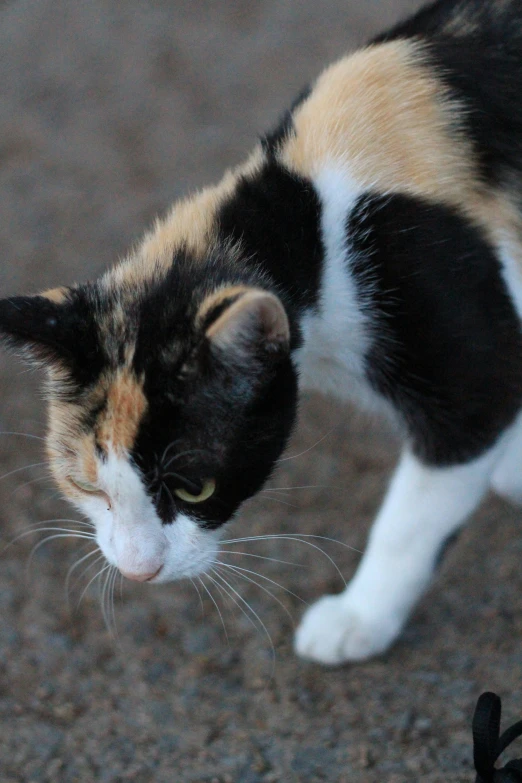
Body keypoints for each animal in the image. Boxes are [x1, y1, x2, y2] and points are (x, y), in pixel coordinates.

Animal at [1, 0, 520, 664]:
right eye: (86, 485)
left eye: (195, 490)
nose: (139, 571)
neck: (309, 222)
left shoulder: (461, 342)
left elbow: (412, 519)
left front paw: (358, 617)